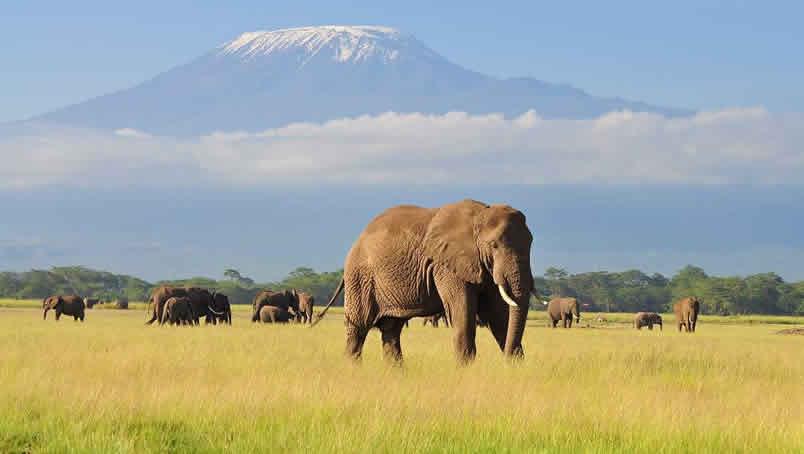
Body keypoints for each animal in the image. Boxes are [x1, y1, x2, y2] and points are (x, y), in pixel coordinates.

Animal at [315, 199, 535, 364]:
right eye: (494, 245)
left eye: (531, 243)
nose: (506, 360)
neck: (480, 214)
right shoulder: (446, 265)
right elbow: (462, 311)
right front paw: (465, 370)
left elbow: (498, 314)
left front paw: (515, 366)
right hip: (360, 278)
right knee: (358, 329)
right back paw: (353, 369)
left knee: (391, 330)